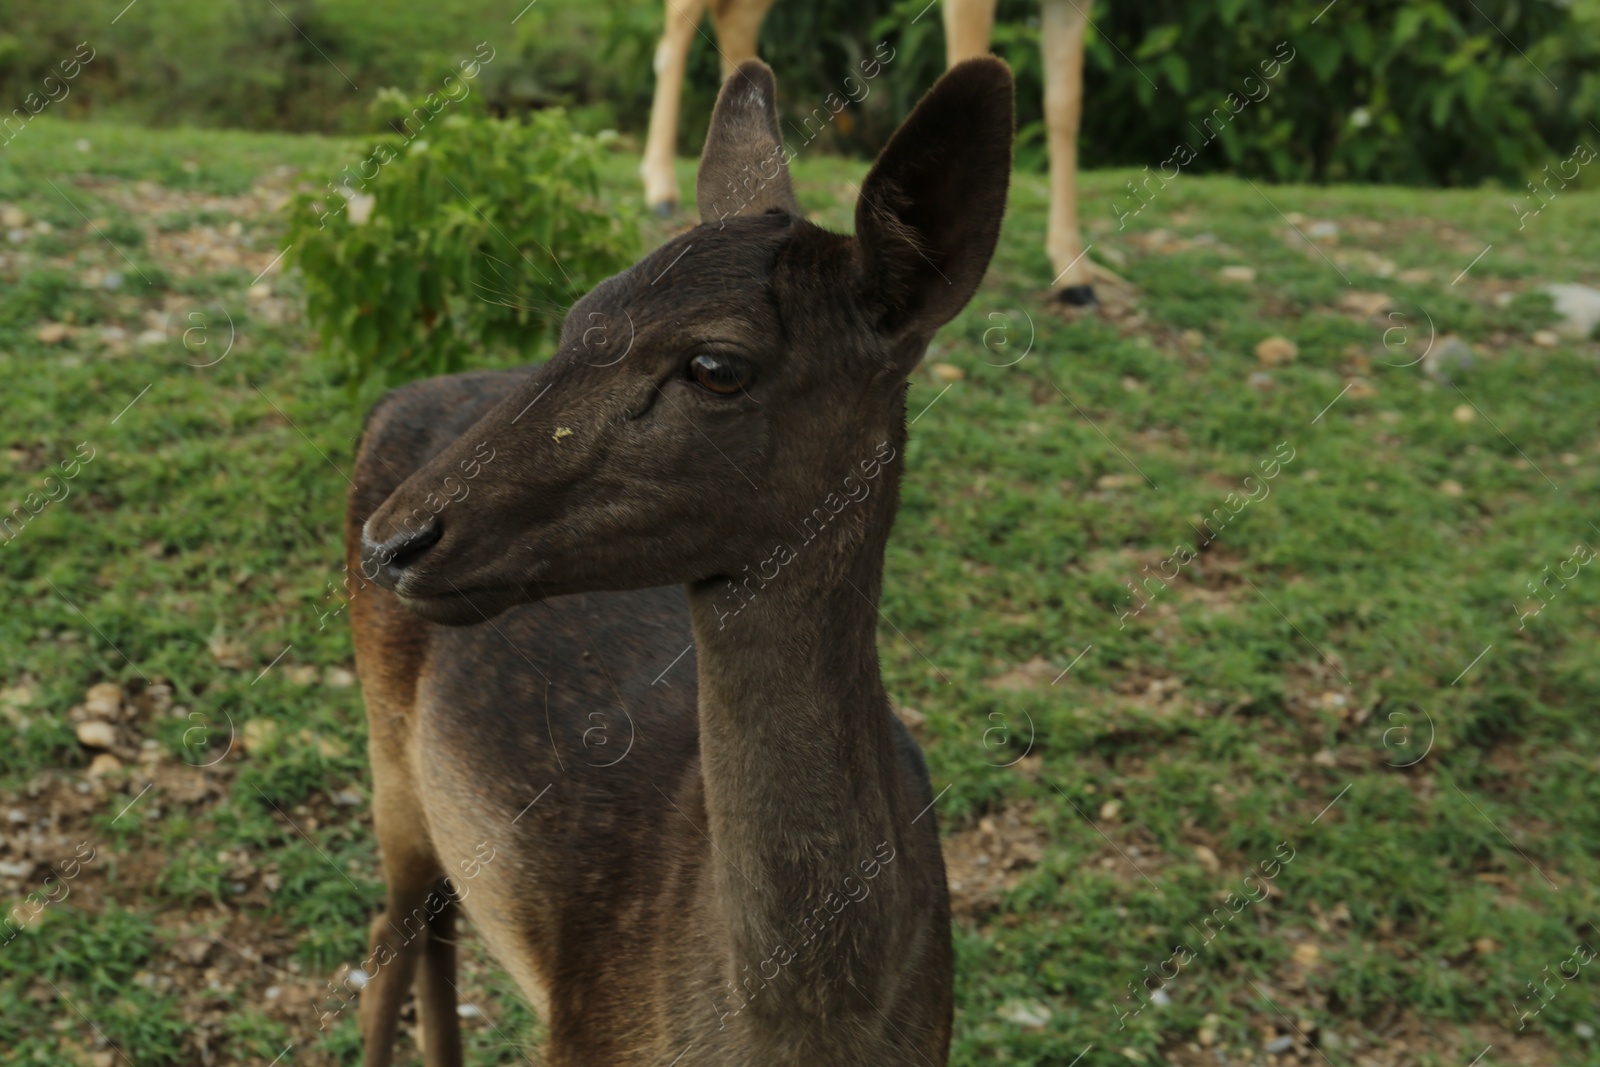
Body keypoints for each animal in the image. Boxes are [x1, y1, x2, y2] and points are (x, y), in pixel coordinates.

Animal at [347, 51, 1011, 1067]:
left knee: (436, 926)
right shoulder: (583, 1031)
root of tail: (390, 401)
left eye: (716, 366)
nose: (395, 538)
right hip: (389, 762)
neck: (807, 1032)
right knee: (389, 937)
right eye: (581, 313)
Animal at [643, 0, 1094, 303]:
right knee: (679, 22)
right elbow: (970, 55)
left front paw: (1074, 274)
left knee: (732, 18)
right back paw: (660, 187)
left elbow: (1066, 104)